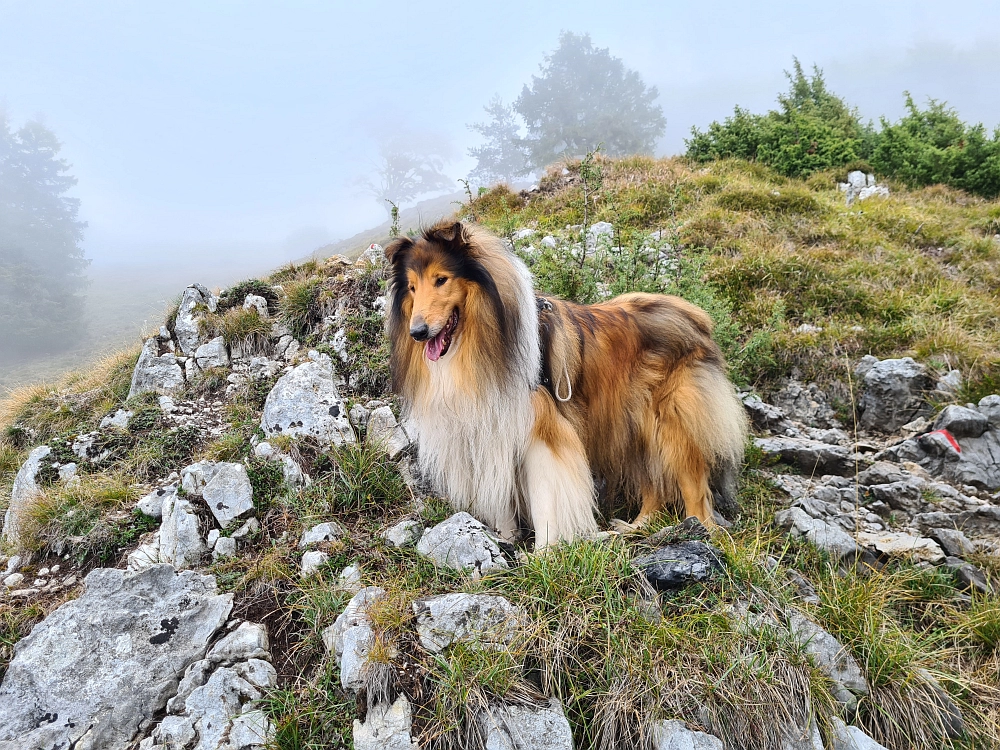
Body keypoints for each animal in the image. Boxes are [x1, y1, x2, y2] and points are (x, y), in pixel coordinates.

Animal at [386, 220, 748, 548]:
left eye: (441, 279)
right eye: (412, 287)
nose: (417, 332)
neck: (476, 342)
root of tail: (696, 317)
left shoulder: (545, 433)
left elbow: (547, 496)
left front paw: (543, 554)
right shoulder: (488, 429)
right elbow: (501, 496)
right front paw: (507, 538)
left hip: (672, 426)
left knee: (696, 493)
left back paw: (697, 532)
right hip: (634, 429)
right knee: (654, 487)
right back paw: (635, 528)